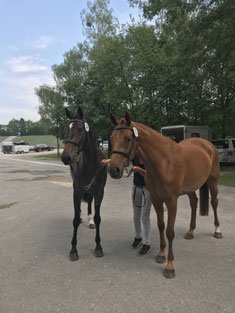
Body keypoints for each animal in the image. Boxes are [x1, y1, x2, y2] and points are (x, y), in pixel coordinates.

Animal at [61, 106, 108, 260]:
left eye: (80, 129)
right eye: (66, 129)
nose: (65, 157)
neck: (91, 164)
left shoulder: (99, 191)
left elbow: (98, 217)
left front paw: (98, 246)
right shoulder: (77, 190)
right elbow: (75, 219)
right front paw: (73, 249)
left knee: (89, 204)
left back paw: (90, 220)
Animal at [108, 111, 222, 276]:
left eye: (127, 138)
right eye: (111, 138)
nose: (113, 170)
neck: (163, 162)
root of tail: (208, 144)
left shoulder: (171, 201)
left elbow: (170, 231)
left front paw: (169, 266)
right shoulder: (156, 199)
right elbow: (161, 226)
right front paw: (161, 255)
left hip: (213, 182)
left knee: (214, 203)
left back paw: (217, 230)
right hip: (190, 188)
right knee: (194, 203)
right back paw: (190, 231)